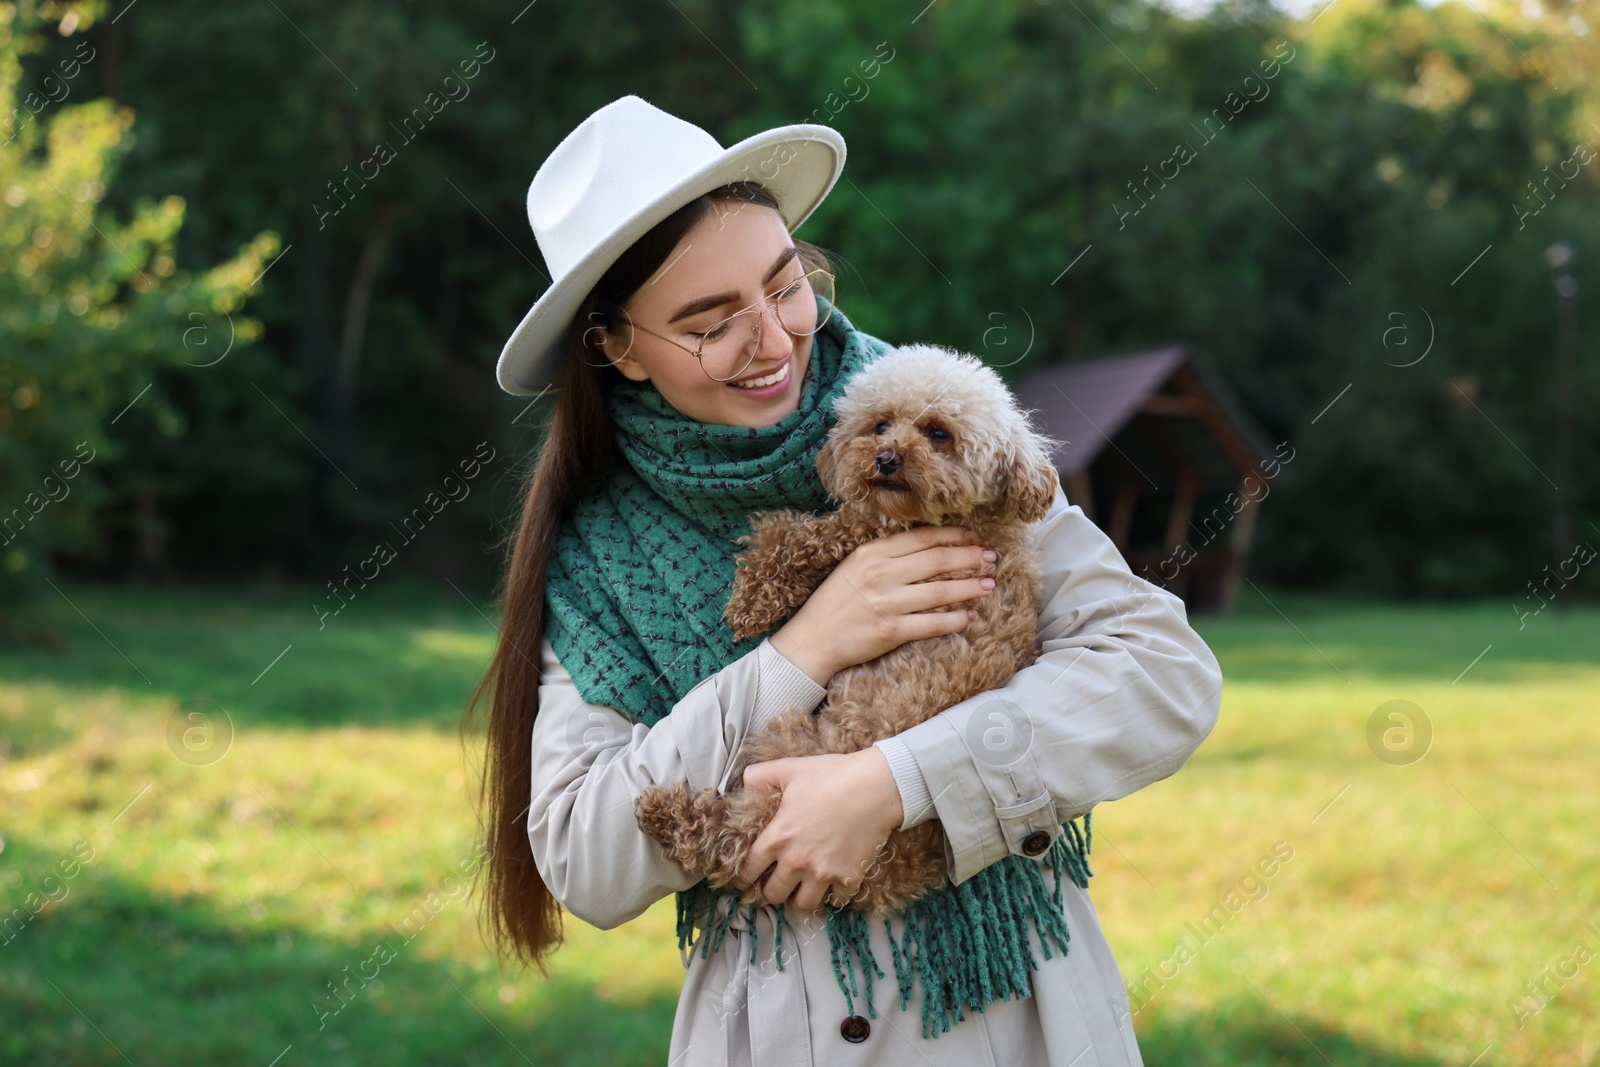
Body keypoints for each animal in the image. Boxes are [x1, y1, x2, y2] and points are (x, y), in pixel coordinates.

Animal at [633, 342, 1062, 921]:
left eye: (939, 433)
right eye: (880, 425)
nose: (886, 459)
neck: (967, 518)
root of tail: (888, 876)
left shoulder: (861, 529)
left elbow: (792, 535)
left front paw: (749, 602)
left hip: (785, 753)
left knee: (732, 841)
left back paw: (667, 813)